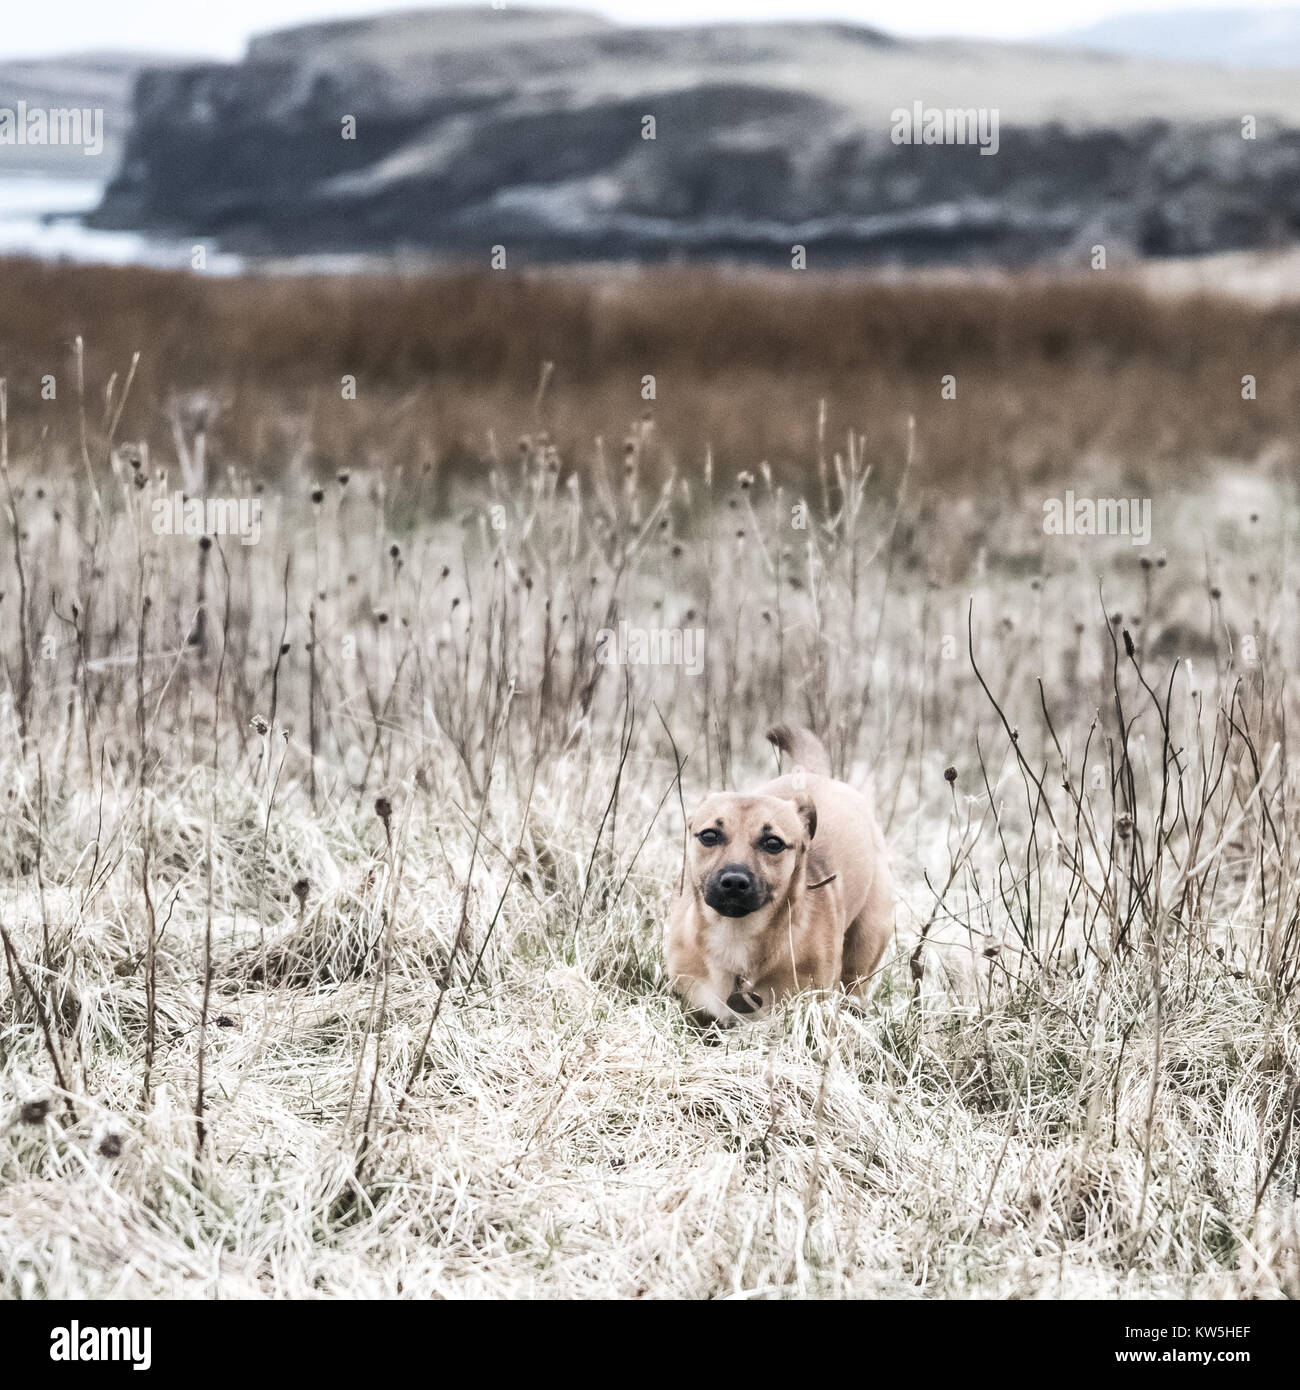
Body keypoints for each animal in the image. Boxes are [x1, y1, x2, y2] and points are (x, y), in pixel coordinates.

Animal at [670, 728, 895, 1023]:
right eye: (709, 835)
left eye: (773, 843)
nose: (734, 881)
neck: (736, 935)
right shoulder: (696, 1007)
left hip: (867, 942)